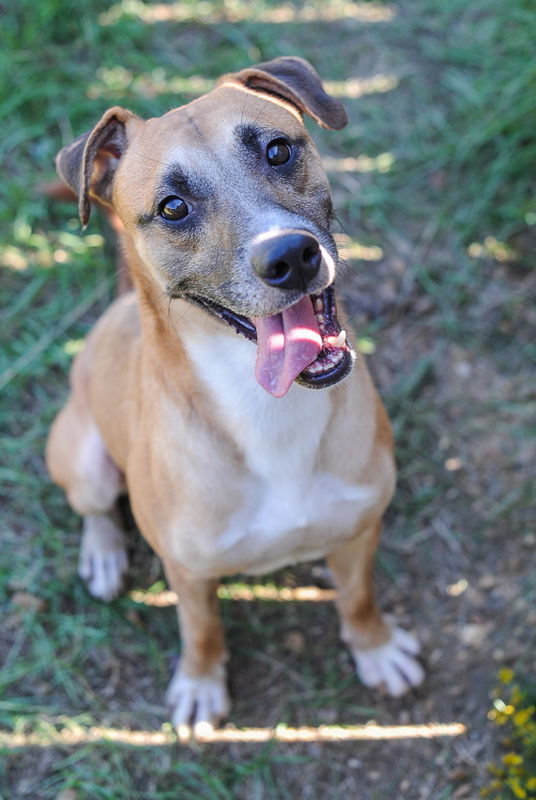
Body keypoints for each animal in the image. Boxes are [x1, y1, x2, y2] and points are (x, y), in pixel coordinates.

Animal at [45, 57, 422, 732]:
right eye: (172, 207)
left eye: (278, 150)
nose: (291, 255)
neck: (266, 409)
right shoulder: (189, 573)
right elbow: (201, 631)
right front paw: (200, 685)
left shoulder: (358, 532)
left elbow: (358, 599)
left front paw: (376, 648)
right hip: (83, 461)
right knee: (94, 508)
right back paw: (105, 554)